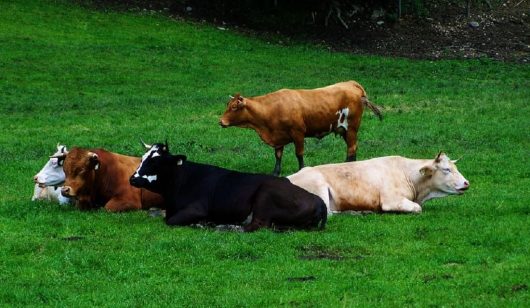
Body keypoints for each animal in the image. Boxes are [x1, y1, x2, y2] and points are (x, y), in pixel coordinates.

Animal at [128, 142, 326, 231]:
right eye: (142, 158)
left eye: (155, 163)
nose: (132, 179)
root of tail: (318, 200)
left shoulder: (196, 208)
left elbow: (170, 221)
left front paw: (202, 223)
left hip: (265, 197)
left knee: (255, 226)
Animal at [218, 79, 380, 176]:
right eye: (227, 105)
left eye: (234, 107)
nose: (221, 121)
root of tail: (351, 83)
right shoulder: (278, 137)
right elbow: (278, 155)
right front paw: (275, 172)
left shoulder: (298, 133)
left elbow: (299, 154)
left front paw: (301, 170)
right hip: (345, 130)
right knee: (353, 148)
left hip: (351, 127)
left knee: (351, 148)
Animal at [286, 152, 468, 214]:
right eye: (446, 169)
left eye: (455, 167)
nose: (467, 183)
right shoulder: (391, 200)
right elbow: (417, 208)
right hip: (319, 188)